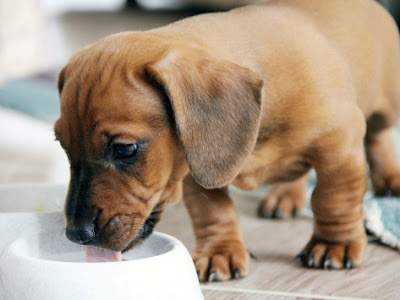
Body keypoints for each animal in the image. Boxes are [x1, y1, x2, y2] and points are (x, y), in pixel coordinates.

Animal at [54, 0, 400, 282]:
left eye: (125, 149)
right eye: (63, 147)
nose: (76, 234)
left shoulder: (339, 146)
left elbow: (334, 198)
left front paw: (334, 244)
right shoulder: (196, 168)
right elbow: (213, 212)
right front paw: (220, 252)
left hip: (386, 105)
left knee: (379, 136)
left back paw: (389, 178)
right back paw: (285, 195)